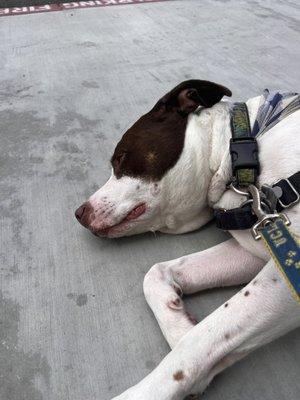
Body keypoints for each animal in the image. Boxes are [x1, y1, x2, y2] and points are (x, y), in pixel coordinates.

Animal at [75, 79, 300, 398]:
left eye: (120, 158)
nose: (79, 212)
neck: (245, 150)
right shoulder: (266, 245)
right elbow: (156, 274)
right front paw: (182, 327)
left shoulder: (285, 270)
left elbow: (202, 338)